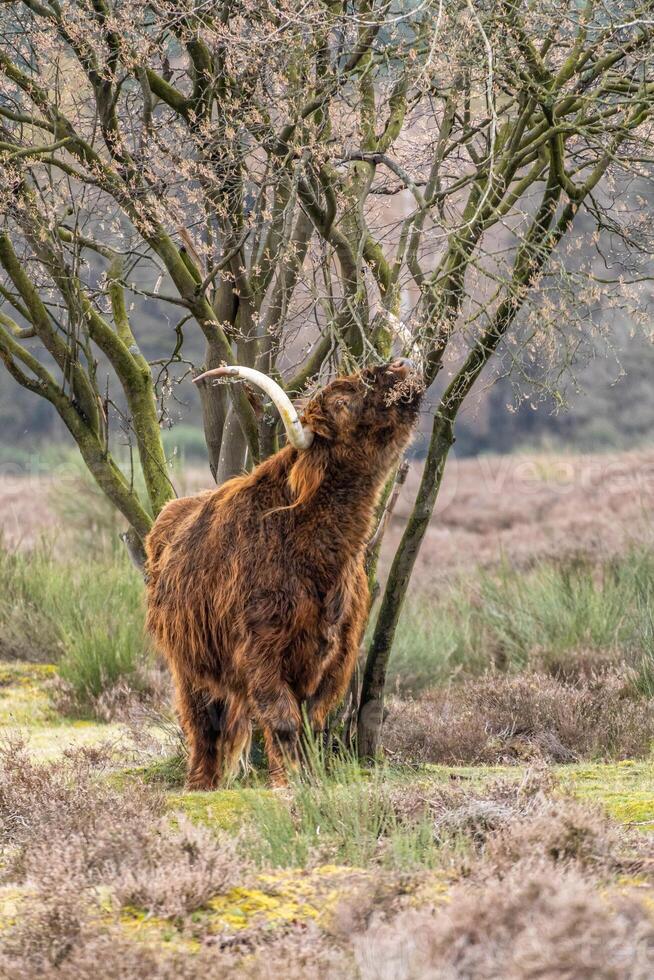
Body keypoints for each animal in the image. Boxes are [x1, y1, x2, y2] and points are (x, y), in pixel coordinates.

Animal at [145, 360, 422, 788]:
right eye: (341, 401)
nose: (399, 366)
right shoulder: (260, 651)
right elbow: (283, 719)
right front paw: (290, 780)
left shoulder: (337, 658)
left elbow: (311, 722)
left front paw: (310, 776)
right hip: (187, 660)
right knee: (201, 720)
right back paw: (201, 783)